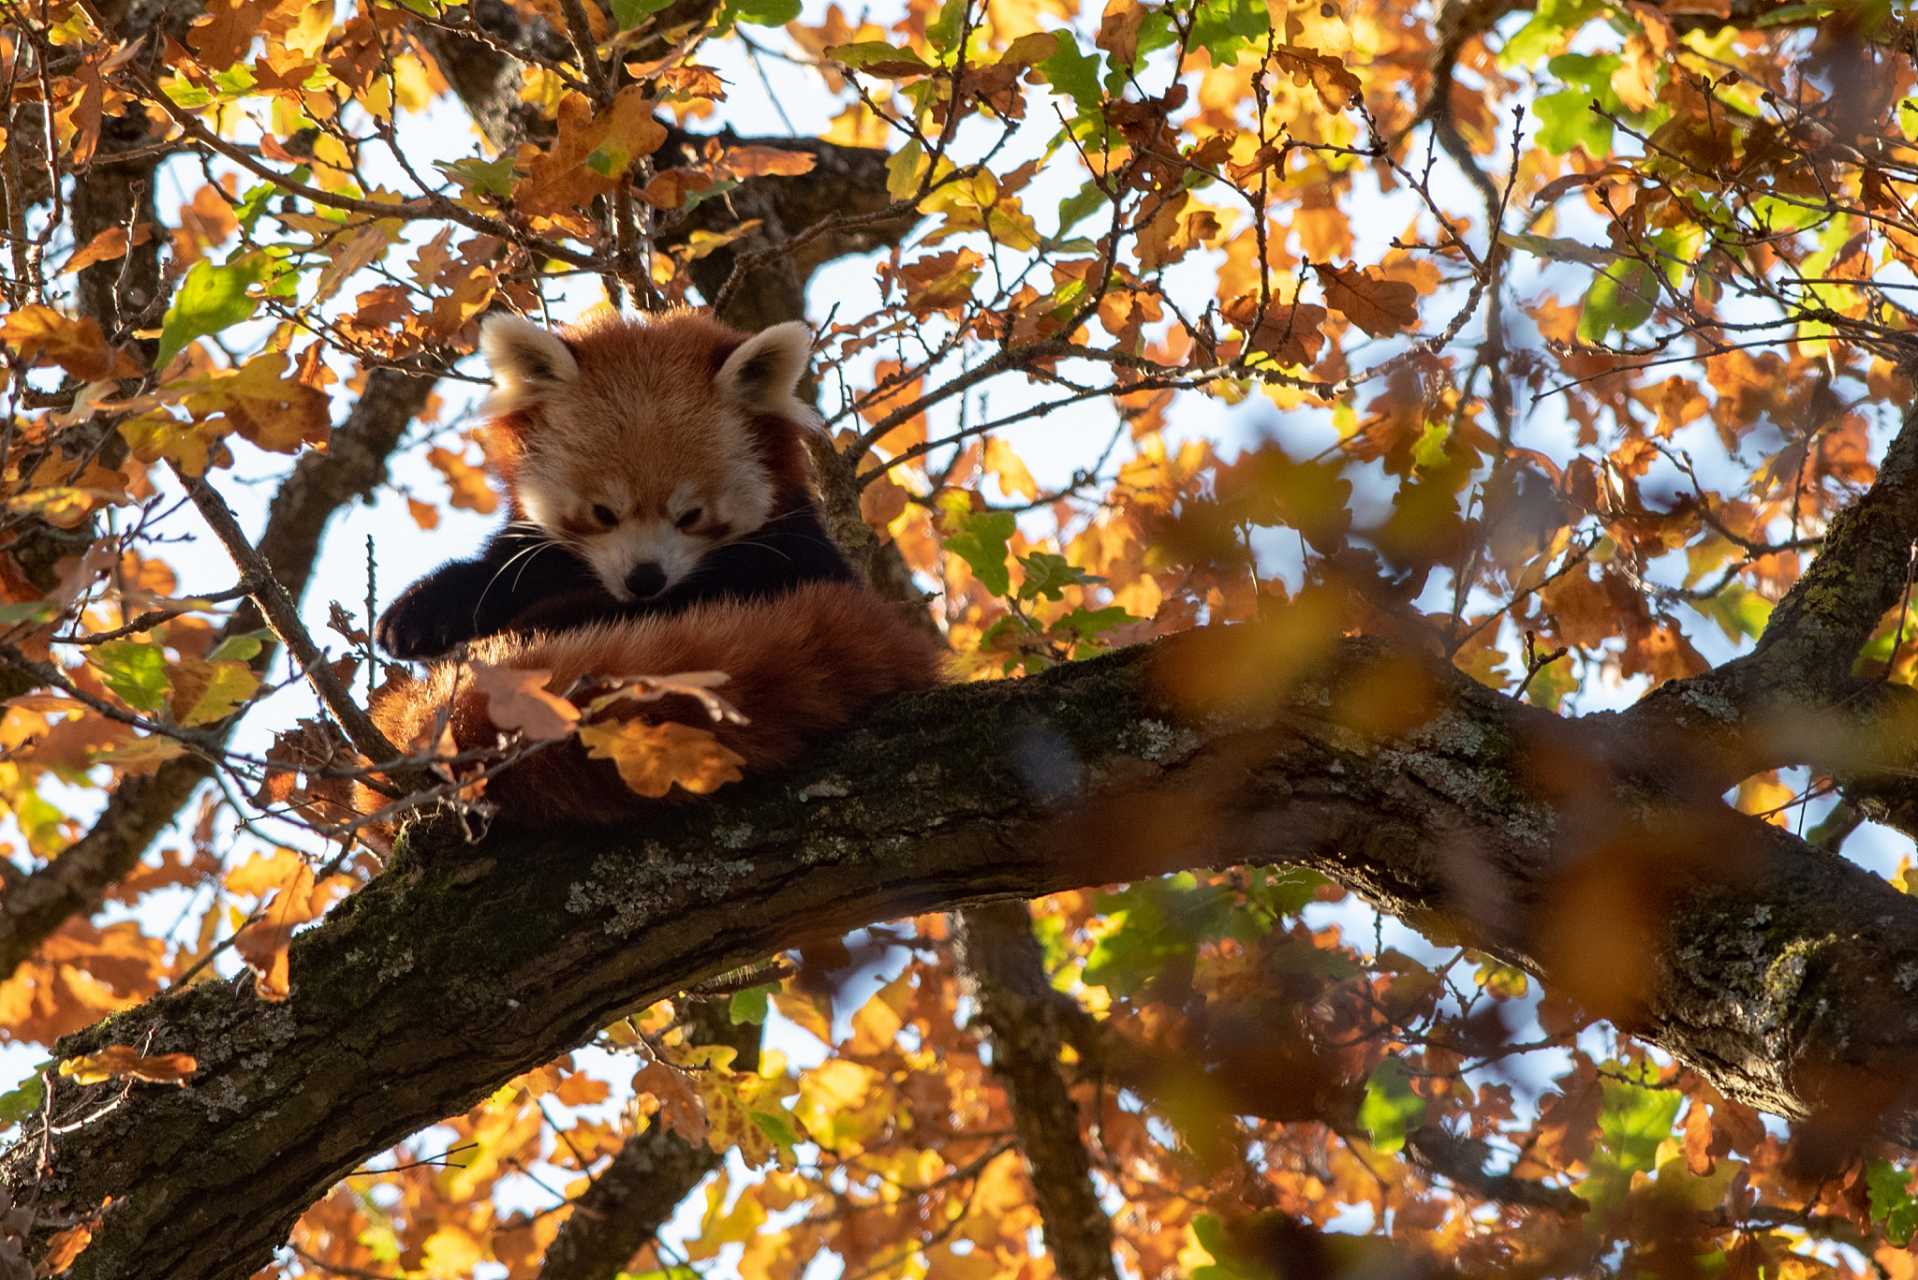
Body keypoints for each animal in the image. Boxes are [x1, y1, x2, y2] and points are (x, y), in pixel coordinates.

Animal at [364, 314, 943, 825]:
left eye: (690, 516)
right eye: (603, 513)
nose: (645, 579)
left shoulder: (796, 557)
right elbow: (505, 570)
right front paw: (425, 611)